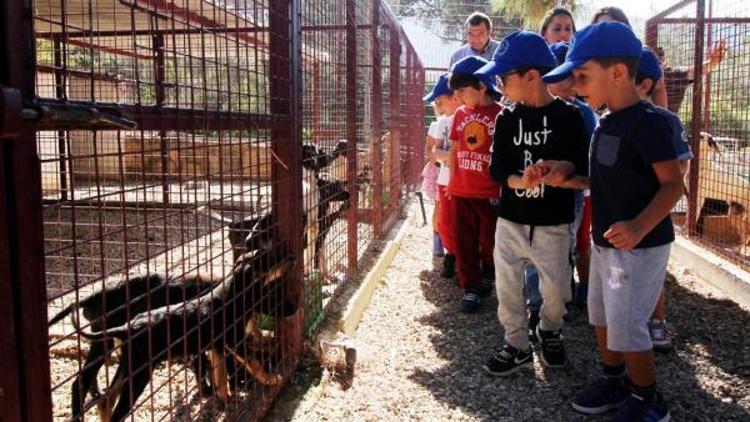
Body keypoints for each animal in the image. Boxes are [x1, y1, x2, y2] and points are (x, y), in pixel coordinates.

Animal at [48, 272, 217, 420]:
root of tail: (96, 293)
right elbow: (202, 367)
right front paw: (209, 391)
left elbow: (203, 366)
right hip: (110, 346)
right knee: (82, 380)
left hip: (110, 345)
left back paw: (97, 396)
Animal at [78, 247, 296, 422]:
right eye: (272, 259)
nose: (292, 257)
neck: (231, 295)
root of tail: (127, 328)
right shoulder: (235, 342)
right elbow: (254, 364)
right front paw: (271, 379)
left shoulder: (217, 347)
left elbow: (220, 378)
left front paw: (226, 401)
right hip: (139, 373)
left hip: (127, 366)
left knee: (106, 400)